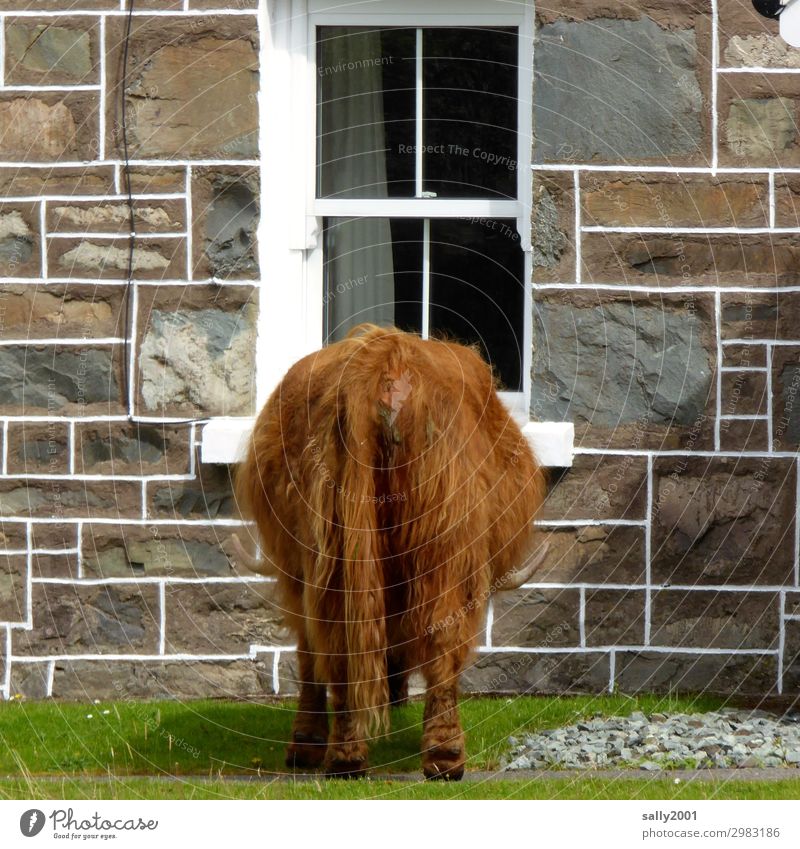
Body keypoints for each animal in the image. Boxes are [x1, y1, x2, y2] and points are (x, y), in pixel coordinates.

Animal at [234, 324, 548, 780]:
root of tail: (383, 362)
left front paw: (307, 745)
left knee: (341, 636)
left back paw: (352, 758)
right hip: (441, 542)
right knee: (437, 633)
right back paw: (437, 757)